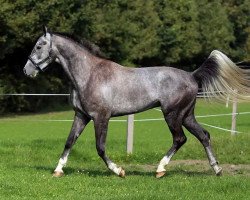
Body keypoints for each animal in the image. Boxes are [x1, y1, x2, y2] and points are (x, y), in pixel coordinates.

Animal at [23, 27, 250, 178]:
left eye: (39, 46)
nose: (27, 70)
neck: (89, 74)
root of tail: (192, 76)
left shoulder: (101, 117)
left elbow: (100, 147)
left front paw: (119, 171)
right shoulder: (81, 116)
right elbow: (69, 141)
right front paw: (58, 170)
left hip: (172, 115)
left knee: (180, 139)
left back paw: (160, 170)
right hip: (187, 115)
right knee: (204, 135)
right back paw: (217, 169)